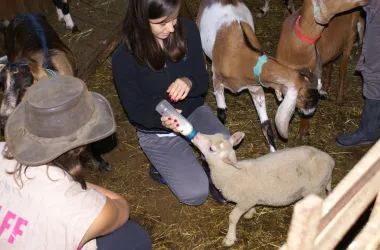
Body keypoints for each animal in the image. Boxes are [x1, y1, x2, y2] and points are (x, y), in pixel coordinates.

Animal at [191, 132, 334, 247]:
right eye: (216, 134)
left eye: (211, 149)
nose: (196, 135)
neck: (233, 173)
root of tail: (330, 160)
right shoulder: (249, 200)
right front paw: (250, 214)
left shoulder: (246, 200)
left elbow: (232, 217)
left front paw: (229, 239)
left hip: (316, 189)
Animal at [197, 0, 322, 150]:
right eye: (304, 98)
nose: (311, 112)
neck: (240, 57)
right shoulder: (217, 82)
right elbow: (221, 114)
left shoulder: (255, 87)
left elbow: (266, 125)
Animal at [276, 0, 368, 138]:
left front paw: (303, 129)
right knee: (330, 63)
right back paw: (326, 86)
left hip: (350, 38)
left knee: (342, 69)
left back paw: (339, 98)